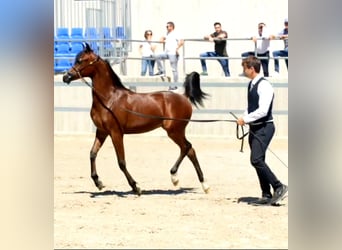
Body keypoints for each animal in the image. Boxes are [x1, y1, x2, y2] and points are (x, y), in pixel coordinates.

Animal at [62, 43, 210, 195]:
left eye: (81, 61)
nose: (65, 77)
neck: (109, 100)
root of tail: (184, 97)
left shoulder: (116, 133)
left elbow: (121, 162)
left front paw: (135, 187)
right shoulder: (102, 132)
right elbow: (92, 154)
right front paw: (98, 183)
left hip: (174, 131)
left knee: (187, 147)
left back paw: (177, 177)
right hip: (176, 132)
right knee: (189, 150)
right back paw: (202, 184)